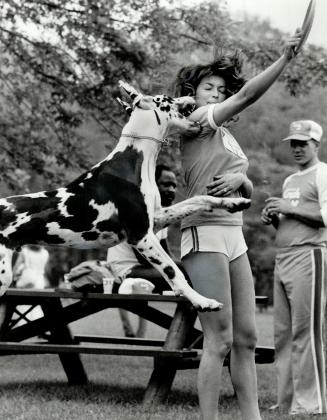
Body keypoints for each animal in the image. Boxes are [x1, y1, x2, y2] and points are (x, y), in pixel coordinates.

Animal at [0, 82, 251, 310]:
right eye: (167, 98)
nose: (190, 94)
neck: (134, 159)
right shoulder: (141, 235)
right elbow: (172, 270)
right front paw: (201, 300)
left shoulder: (156, 219)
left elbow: (200, 200)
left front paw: (232, 201)